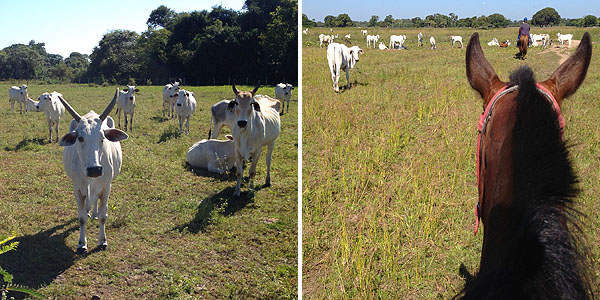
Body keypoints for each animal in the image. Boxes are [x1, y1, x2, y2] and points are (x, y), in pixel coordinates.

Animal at [58, 89, 128, 253]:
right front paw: (81, 244)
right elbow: (81, 217)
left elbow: (103, 215)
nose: (94, 169)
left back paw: (94, 212)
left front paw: (102, 241)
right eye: (80, 138)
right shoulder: (77, 188)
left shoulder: (106, 187)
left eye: (102, 138)